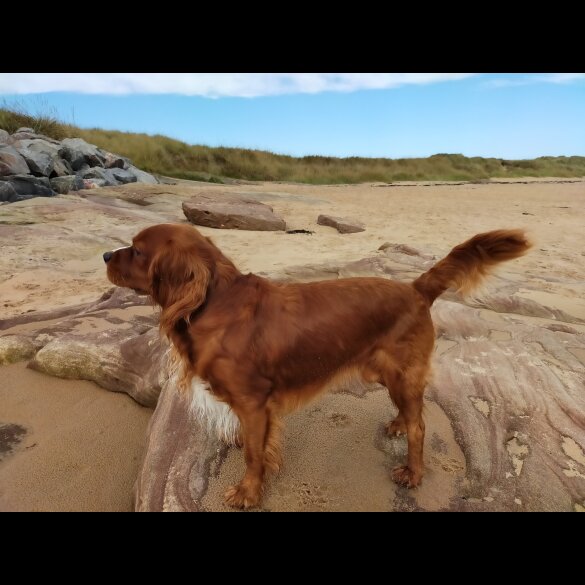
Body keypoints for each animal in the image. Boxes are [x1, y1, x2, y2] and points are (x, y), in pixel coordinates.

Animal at [104, 222, 528, 506]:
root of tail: (415, 289)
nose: (106, 255)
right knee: (411, 413)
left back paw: (413, 472)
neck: (214, 303)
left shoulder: (254, 402)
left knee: (420, 427)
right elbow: (256, 444)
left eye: (137, 250)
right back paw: (396, 423)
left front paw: (247, 493)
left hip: (401, 373)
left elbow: (254, 454)